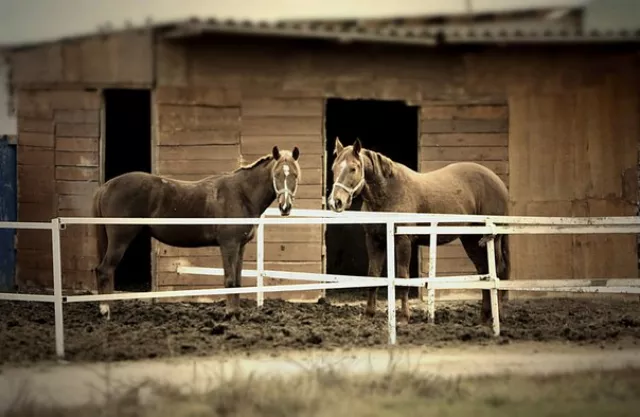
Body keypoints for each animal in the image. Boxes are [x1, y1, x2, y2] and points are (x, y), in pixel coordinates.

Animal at [92, 145, 301, 320]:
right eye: (276, 174)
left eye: (294, 175)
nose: (285, 207)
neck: (241, 194)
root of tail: (106, 186)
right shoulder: (229, 245)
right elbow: (229, 280)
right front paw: (229, 315)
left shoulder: (240, 246)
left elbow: (238, 281)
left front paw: (236, 313)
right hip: (120, 240)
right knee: (104, 270)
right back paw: (105, 311)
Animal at [327, 138, 510, 325]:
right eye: (333, 168)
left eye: (353, 168)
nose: (336, 202)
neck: (388, 192)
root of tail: (497, 181)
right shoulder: (374, 240)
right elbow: (373, 275)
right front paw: (369, 314)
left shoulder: (403, 241)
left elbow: (402, 278)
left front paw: (403, 317)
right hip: (472, 240)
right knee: (484, 270)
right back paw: (484, 317)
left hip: (492, 240)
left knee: (497, 271)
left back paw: (497, 317)